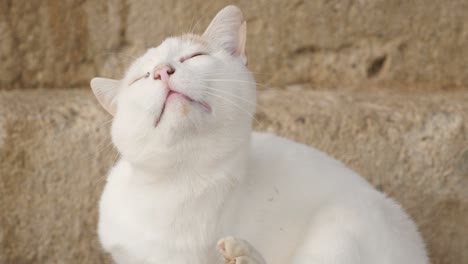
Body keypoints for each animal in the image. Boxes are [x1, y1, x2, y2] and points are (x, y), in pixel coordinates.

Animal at [90, 4, 428, 264]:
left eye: (194, 57)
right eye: (141, 78)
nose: (162, 71)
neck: (174, 182)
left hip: (342, 226)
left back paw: (244, 254)